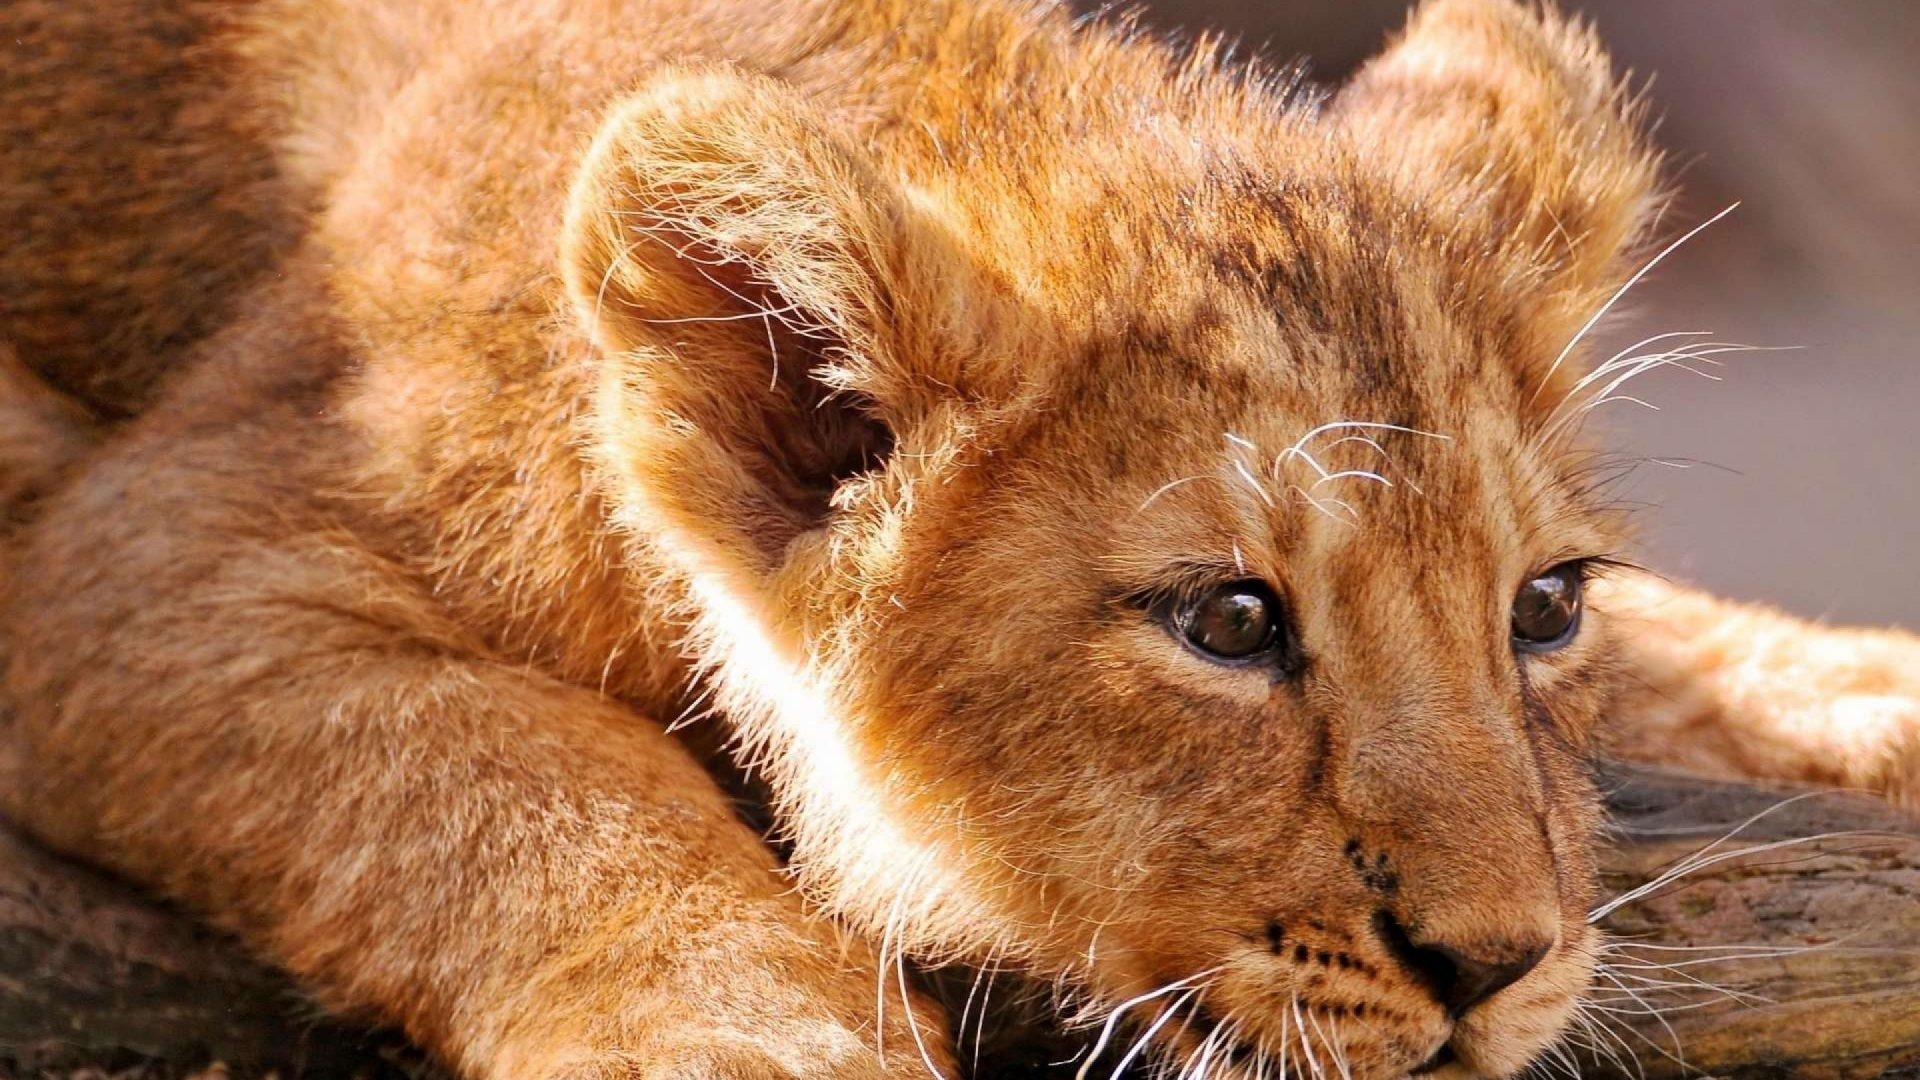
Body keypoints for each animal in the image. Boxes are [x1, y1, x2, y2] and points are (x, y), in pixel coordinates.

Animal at [0, 0, 1915, 1076]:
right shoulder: (154, 548)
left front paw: (1872, 705)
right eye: (1230, 624)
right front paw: (761, 1043)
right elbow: (497, 763)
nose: (1497, 966)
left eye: (1545, 608)